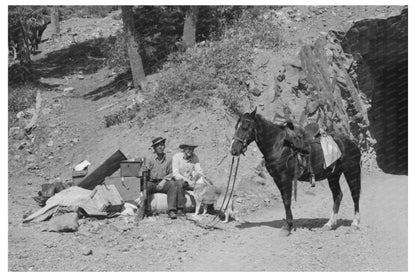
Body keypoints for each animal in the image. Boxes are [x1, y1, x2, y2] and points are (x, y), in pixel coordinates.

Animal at [231, 108, 360, 235]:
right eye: (236, 126)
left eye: (245, 127)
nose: (233, 150)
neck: (278, 145)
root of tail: (352, 143)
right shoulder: (277, 179)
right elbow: (284, 200)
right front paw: (288, 225)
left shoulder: (285, 178)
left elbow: (287, 200)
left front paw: (287, 227)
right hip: (333, 175)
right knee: (337, 195)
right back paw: (329, 224)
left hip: (351, 171)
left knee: (355, 194)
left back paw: (355, 223)